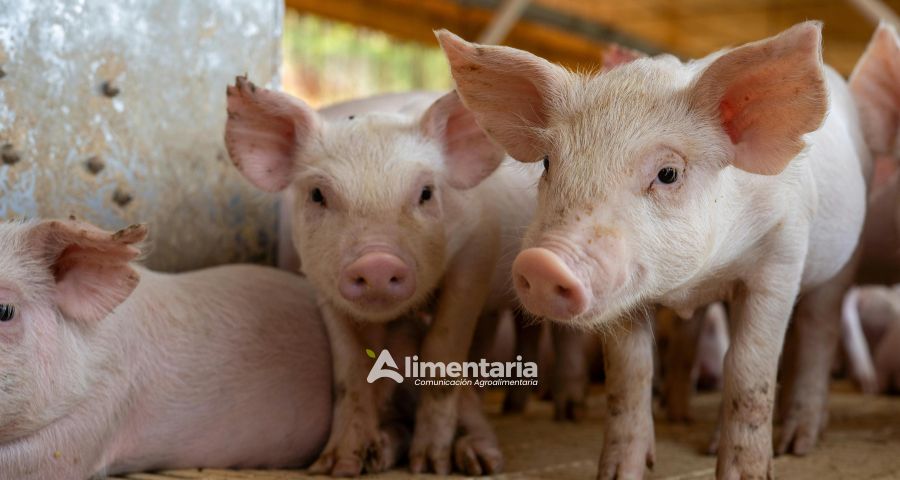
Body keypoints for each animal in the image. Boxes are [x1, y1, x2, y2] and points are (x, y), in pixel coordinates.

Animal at [225, 78, 542, 475]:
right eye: (317, 194)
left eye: (426, 193)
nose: (376, 262)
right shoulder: (321, 284)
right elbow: (351, 369)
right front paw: (336, 465)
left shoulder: (477, 250)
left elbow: (442, 347)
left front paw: (430, 465)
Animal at [438, 21, 868, 479]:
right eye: (548, 163)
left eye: (668, 173)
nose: (542, 263)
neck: (693, 282)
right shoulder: (623, 296)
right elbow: (630, 374)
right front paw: (620, 472)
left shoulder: (782, 252)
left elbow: (750, 367)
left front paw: (747, 473)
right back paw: (683, 418)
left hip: (843, 263)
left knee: (818, 332)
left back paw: (797, 442)